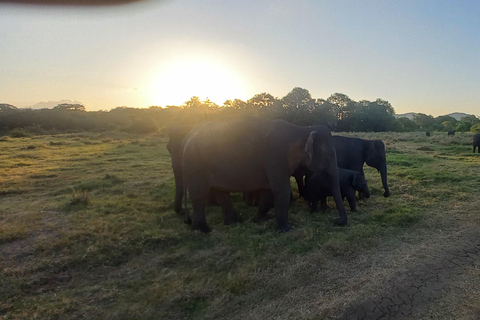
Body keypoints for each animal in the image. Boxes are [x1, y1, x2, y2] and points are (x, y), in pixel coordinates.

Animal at [180, 116, 344, 231]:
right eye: (330, 154)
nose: (336, 221)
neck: (301, 129)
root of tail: (188, 137)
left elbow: (268, 190)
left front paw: (260, 219)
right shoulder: (276, 157)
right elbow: (282, 190)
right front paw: (286, 229)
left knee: (220, 192)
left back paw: (233, 222)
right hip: (195, 166)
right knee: (199, 194)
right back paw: (204, 230)